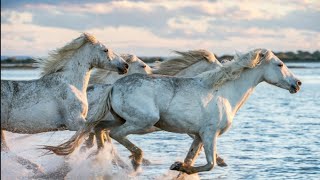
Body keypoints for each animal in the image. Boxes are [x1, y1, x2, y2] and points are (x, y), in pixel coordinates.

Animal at [45, 48, 302, 174]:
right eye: (280, 64)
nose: (297, 84)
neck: (224, 92)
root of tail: (114, 86)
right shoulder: (210, 134)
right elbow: (210, 163)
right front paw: (180, 166)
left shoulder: (198, 135)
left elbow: (195, 157)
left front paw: (182, 167)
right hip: (143, 121)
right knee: (114, 135)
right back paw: (136, 160)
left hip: (120, 119)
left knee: (99, 129)